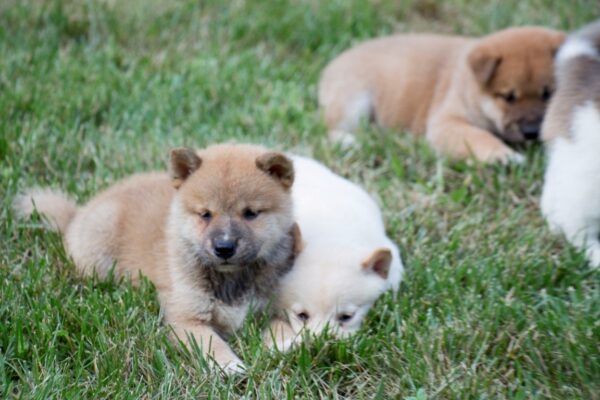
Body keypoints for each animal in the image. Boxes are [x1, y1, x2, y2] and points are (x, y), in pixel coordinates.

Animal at [15, 145, 300, 376]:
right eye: (205, 214)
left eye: (251, 213)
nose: (224, 247)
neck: (230, 280)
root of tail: (77, 215)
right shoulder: (186, 319)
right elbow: (212, 343)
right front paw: (229, 365)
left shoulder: (269, 307)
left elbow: (281, 325)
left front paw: (285, 344)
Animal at [322, 26, 564, 162]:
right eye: (508, 98)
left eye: (548, 94)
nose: (531, 132)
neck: (470, 87)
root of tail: (333, 64)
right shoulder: (448, 122)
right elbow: (479, 137)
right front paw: (502, 156)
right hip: (352, 102)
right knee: (331, 129)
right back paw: (349, 142)